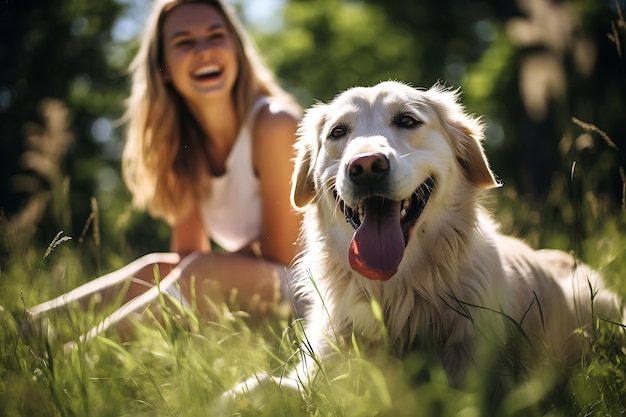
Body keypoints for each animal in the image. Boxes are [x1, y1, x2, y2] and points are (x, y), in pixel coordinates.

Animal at [219, 79, 620, 406]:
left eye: (408, 121)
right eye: (337, 132)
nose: (366, 166)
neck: (395, 292)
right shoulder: (317, 371)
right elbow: (253, 387)